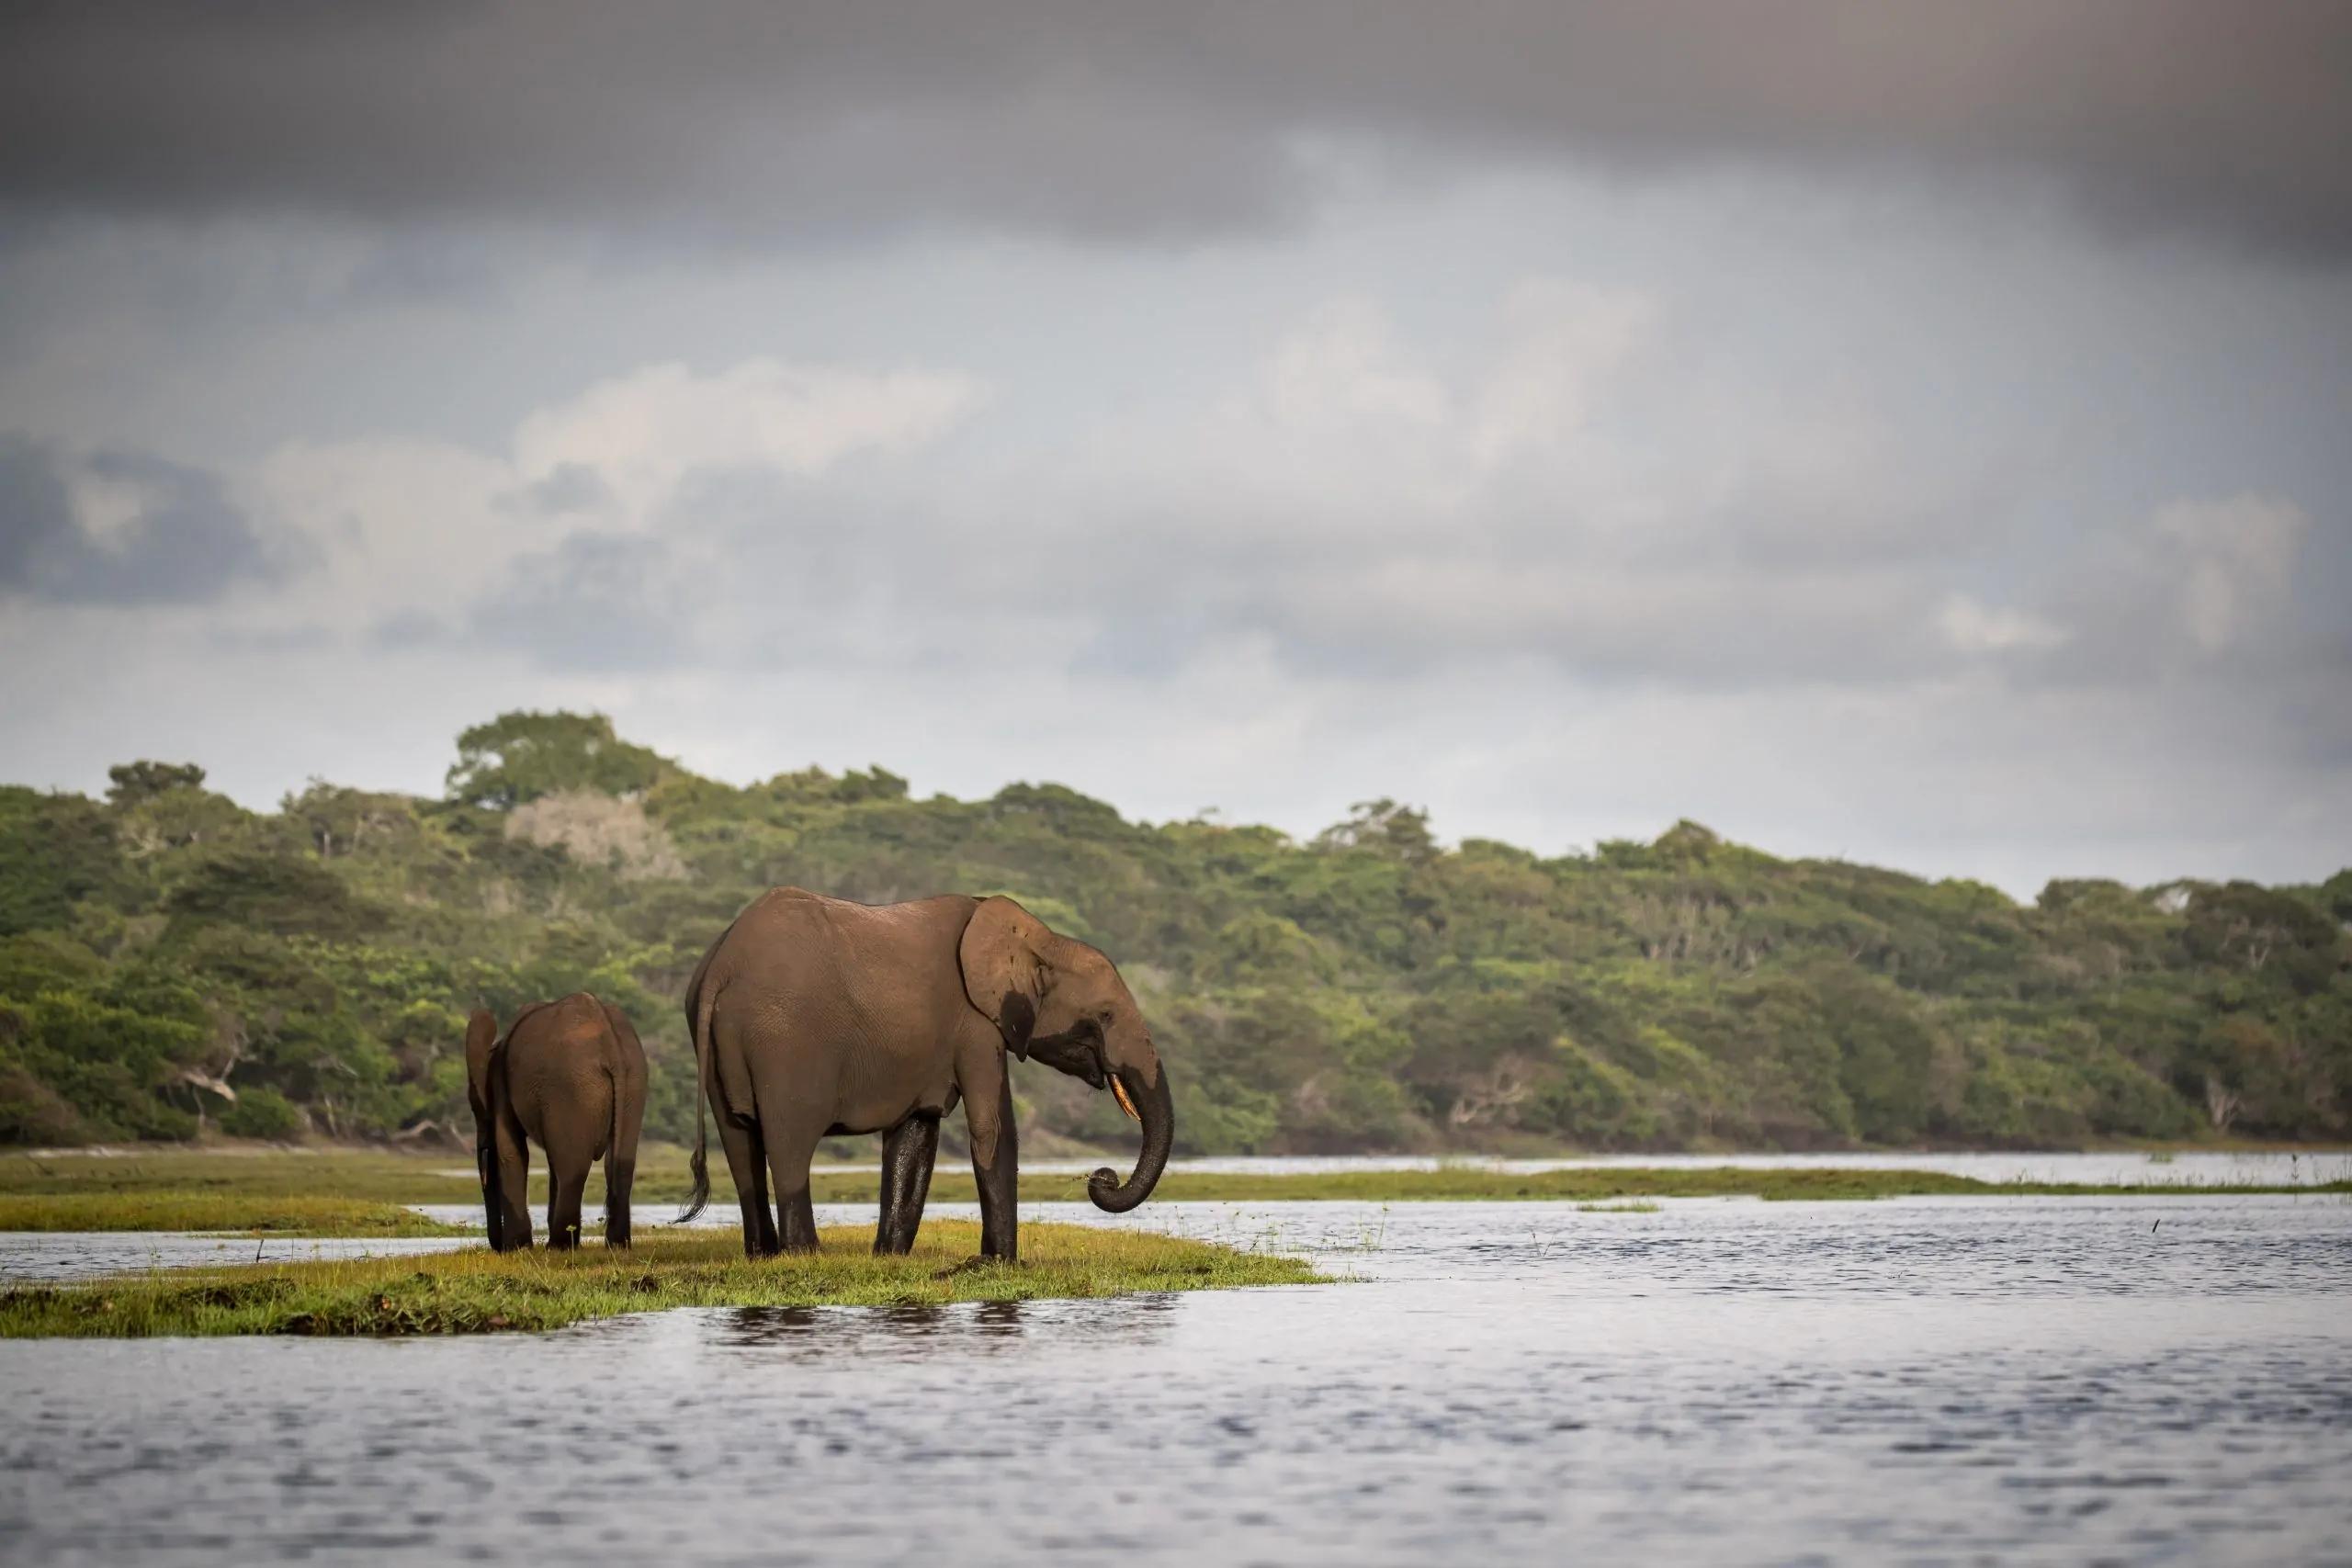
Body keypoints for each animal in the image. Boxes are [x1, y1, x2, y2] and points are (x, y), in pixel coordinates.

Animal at [465, 992, 648, 1251]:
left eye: (474, 1107)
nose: (497, 1247)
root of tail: (611, 1047)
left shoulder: (503, 1086)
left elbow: (511, 1151)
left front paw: (517, 1248)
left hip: (571, 1087)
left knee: (572, 1166)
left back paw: (559, 1246)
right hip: (634, 1083)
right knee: (619, 1163)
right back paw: (617, 1246)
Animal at [676, 890, 1173, 1263]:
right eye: (1105, 1015)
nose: (1102, 1178)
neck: (1042, 941)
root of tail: (722, 964)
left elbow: (915, 1136)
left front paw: (890, 1258)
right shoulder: (975, 1025)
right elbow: (992, 1129)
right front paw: (999, 1264)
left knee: (739, 1143)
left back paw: (763, 1254)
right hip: (785, 1043)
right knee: (790, 1143)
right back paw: (806, 1254)